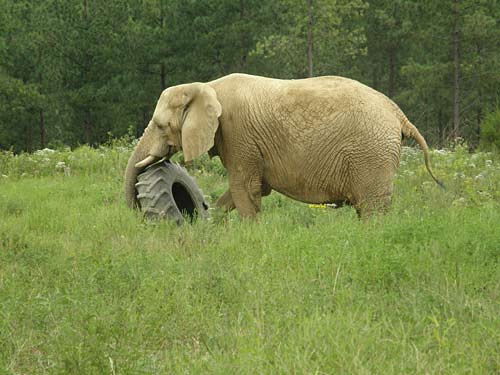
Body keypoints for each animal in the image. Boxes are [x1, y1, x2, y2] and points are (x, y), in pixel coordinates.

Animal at [125, 73, 442, 219]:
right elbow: (249, 190)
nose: (135, 211)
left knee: (372, 209)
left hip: (371, 153)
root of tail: (398, 113)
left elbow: (244, 188)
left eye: (160, 125)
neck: (205, 86)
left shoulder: (238, 134)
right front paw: (213, 222)